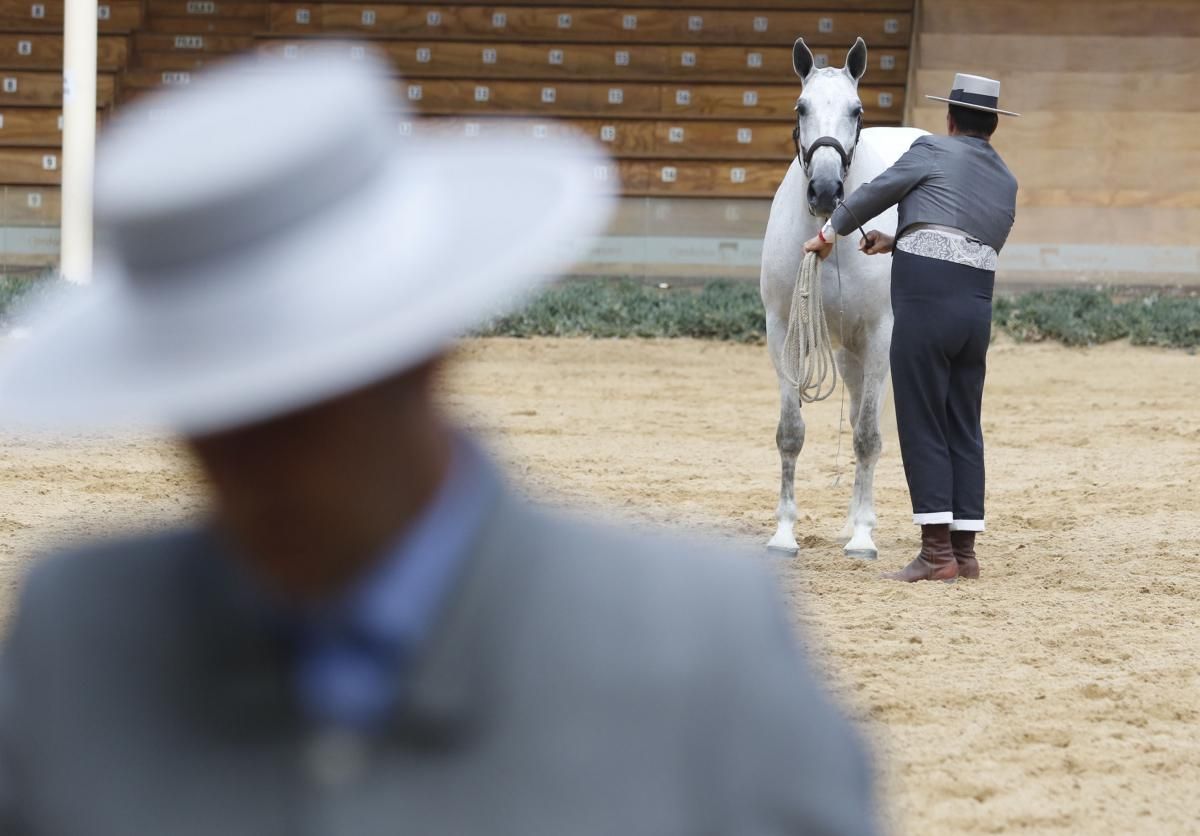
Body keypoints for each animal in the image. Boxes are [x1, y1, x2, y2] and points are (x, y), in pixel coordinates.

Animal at [758, 38, 926, 561]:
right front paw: (784, 533)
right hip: (849, 353)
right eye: (801, 106)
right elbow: (791, 433)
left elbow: (869, 438)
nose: (826, 191)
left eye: (857, 110)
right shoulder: (782, 331)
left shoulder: (880, 335)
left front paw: (863, 538)